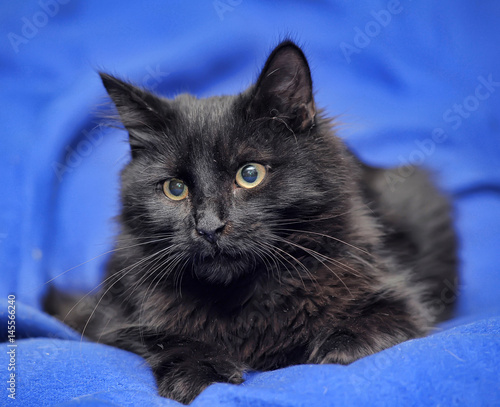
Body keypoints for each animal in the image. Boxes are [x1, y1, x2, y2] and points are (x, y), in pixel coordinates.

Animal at [46, 40, 458, 404]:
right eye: (175, 189)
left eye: (249, 174)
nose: (209, 227)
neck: (241, 297)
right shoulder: (111, 314)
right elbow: (161, 337)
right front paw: (200, 371)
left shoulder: (399, 297)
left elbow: (372, 326)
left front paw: (336, 346)